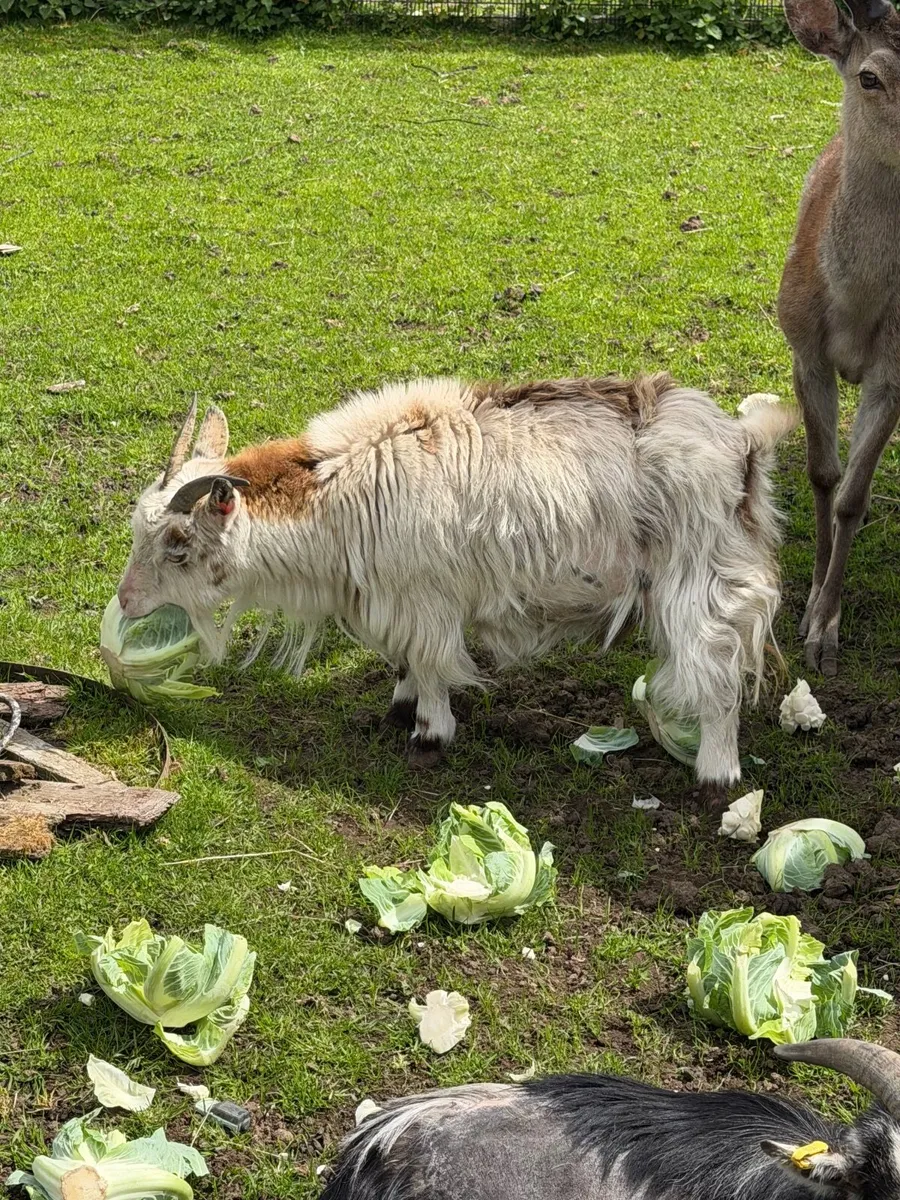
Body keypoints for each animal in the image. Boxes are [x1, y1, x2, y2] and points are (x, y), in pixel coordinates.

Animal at [117, 373, 798, 798]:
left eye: (177, 544)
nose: (125, 600)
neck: (341, 487)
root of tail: (743, 444)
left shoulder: (427, 599)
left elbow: (429, 662)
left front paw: (428, 733)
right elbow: (404, 662)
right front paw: (400, 705)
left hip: (700, 584)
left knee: (717, 673)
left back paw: (715, 776)